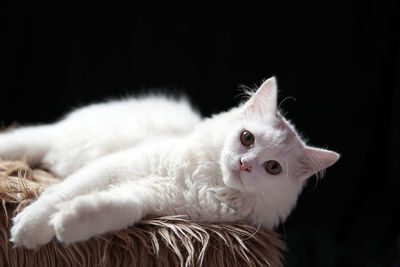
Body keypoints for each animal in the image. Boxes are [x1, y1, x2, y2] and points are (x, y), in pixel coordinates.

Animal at [0, 77, 340, 249]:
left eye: (272, 168)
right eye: (247, 138)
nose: (245, 163)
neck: (206, 180)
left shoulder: (147, 201)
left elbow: (108, 209)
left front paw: (68, 223)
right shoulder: (113, 166)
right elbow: (58, 196)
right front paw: (29, 230)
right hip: (58, 138)